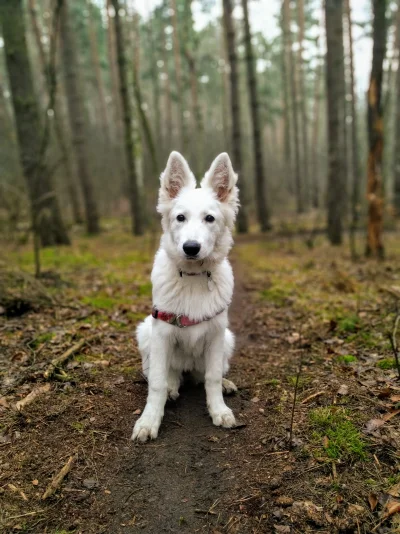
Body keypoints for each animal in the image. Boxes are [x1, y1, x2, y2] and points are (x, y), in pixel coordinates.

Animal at [131, 152, 239, 444]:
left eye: (210, 218)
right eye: (180, 217)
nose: (191, 248)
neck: (192, 277)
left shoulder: (216, 333)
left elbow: (212, 377)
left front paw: (218, 410)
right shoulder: (161, 332)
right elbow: (156, 383)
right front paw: (149, 420)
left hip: (228, 338)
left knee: (206, 375)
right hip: (145, 331)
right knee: (165, 374)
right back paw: (171, 386)